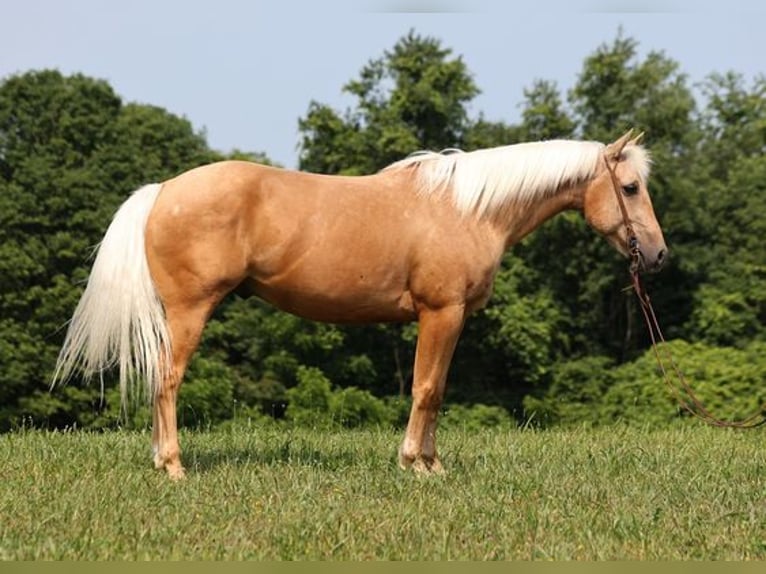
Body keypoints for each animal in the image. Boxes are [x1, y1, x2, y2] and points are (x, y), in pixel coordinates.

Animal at [54, 132, 664, 482]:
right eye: (631, 187)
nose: (658, 255)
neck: (469, 209)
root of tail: (161, 191)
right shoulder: (441, 312)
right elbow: (427, 389)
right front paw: (416, 465)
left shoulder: (450, 318)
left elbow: (436, 390)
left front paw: (433, 464)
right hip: (188, 312)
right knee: (167, 380)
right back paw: (174, 468)